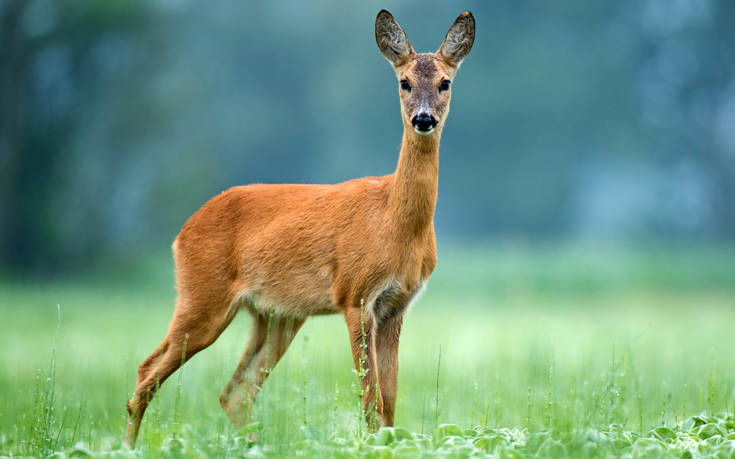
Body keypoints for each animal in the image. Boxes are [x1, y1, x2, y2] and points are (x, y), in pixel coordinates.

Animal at [123, 9, 474, 450]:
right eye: (404, 82)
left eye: (445, 82)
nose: (423, 119)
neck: (395, 221)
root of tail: (182, 232)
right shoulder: (355, 295)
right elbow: (370, 398)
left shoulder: (397, 305)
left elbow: (390, 401)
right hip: (202, 296)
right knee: (146, 373)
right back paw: (127, 447)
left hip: (275, 315)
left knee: (234, 391)